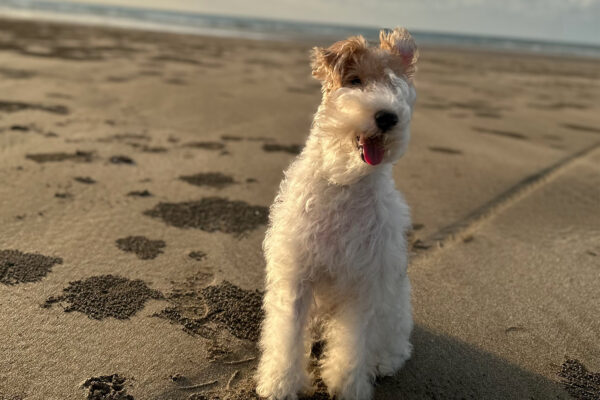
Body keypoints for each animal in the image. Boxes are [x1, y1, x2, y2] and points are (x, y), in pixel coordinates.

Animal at [253, 28, 418, 400]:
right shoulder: (297, 274)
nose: (387, 117)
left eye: (397, 85)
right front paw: (280, 383)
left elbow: (353, 343)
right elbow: (287, 334)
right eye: (354, 81)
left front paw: (348, 385)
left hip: (395, 307)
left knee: (396, 346)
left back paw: (381, 363)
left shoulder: (364, 283)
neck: (345, 183)